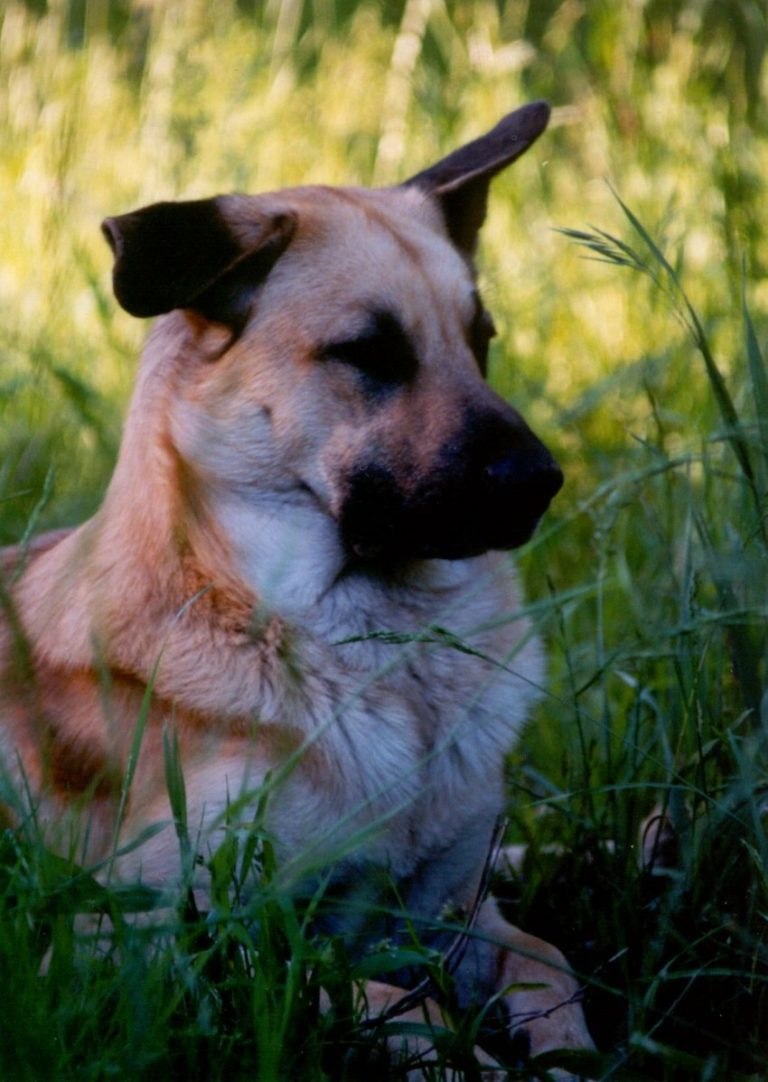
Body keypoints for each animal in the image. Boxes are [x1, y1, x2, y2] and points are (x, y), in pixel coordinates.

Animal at [0, 101, 597, 1073]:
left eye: (482, 343)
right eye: (369, 352)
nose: (541, 482)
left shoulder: (453, 907)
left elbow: (547, 959)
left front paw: (565, 1049)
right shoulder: (143, 940)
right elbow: (381, 998)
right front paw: (458, 1057)